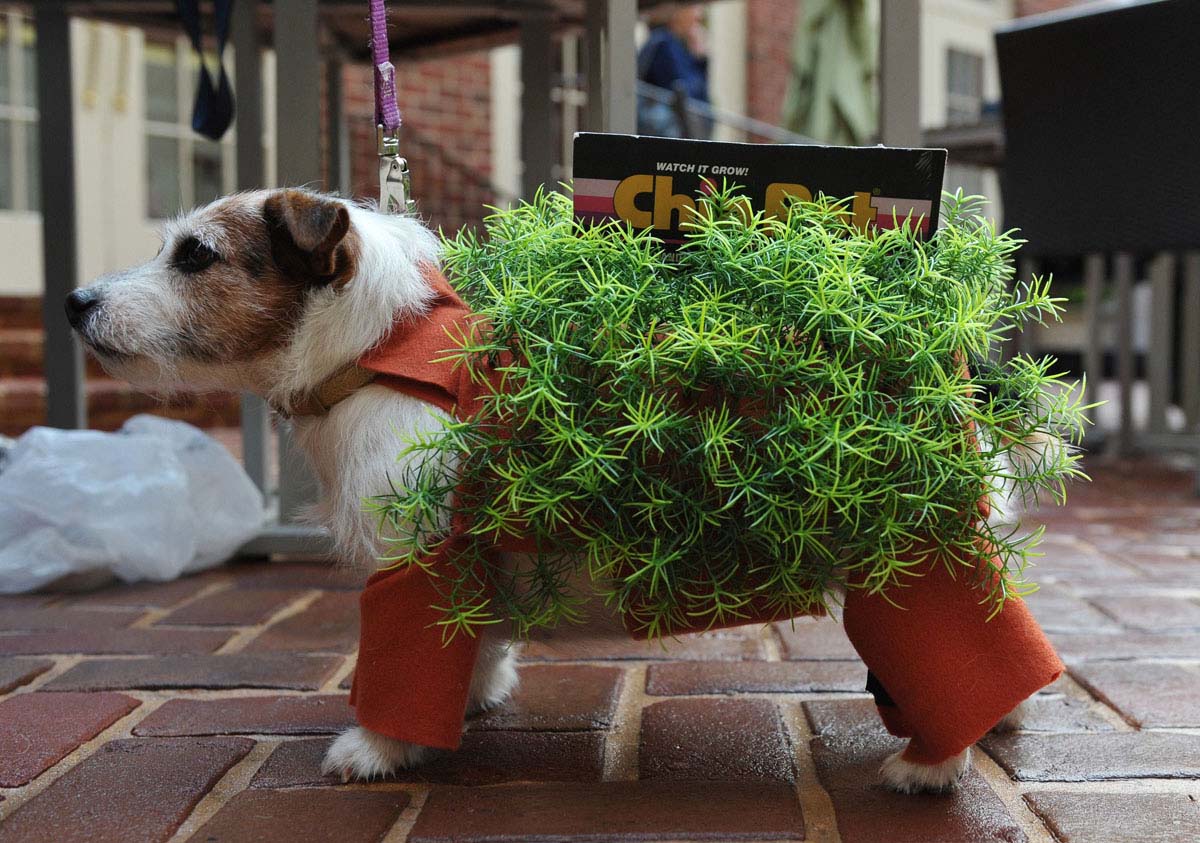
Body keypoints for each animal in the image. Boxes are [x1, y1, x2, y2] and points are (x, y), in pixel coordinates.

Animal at [68, 188, 1060, 797]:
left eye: (196, 256)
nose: (76, 301)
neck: (376, 347)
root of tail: (946, 356)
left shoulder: (413, 570)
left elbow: (398, 664)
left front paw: (379, 746)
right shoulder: (464, 568)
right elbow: (473, 642)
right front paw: (471, 695)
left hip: (912, 563)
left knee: (970, 653)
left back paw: (930, 763)